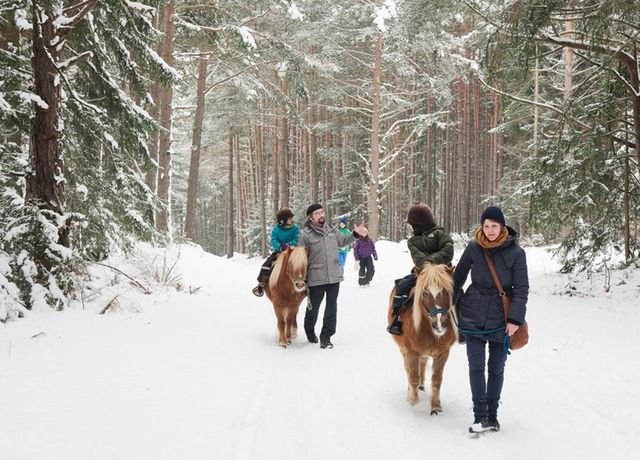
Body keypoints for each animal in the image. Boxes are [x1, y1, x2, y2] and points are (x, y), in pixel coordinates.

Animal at [388, 264, 458, 416]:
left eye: (445, 291)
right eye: (425, 293)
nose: (439, 324)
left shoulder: (443, 353)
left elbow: (437, 380)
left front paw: (436, 407)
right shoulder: (411, 352)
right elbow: (413, 377)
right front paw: (412, 400)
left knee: (423, 364)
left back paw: (421, 386)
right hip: (404, 351)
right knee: (408, 370)